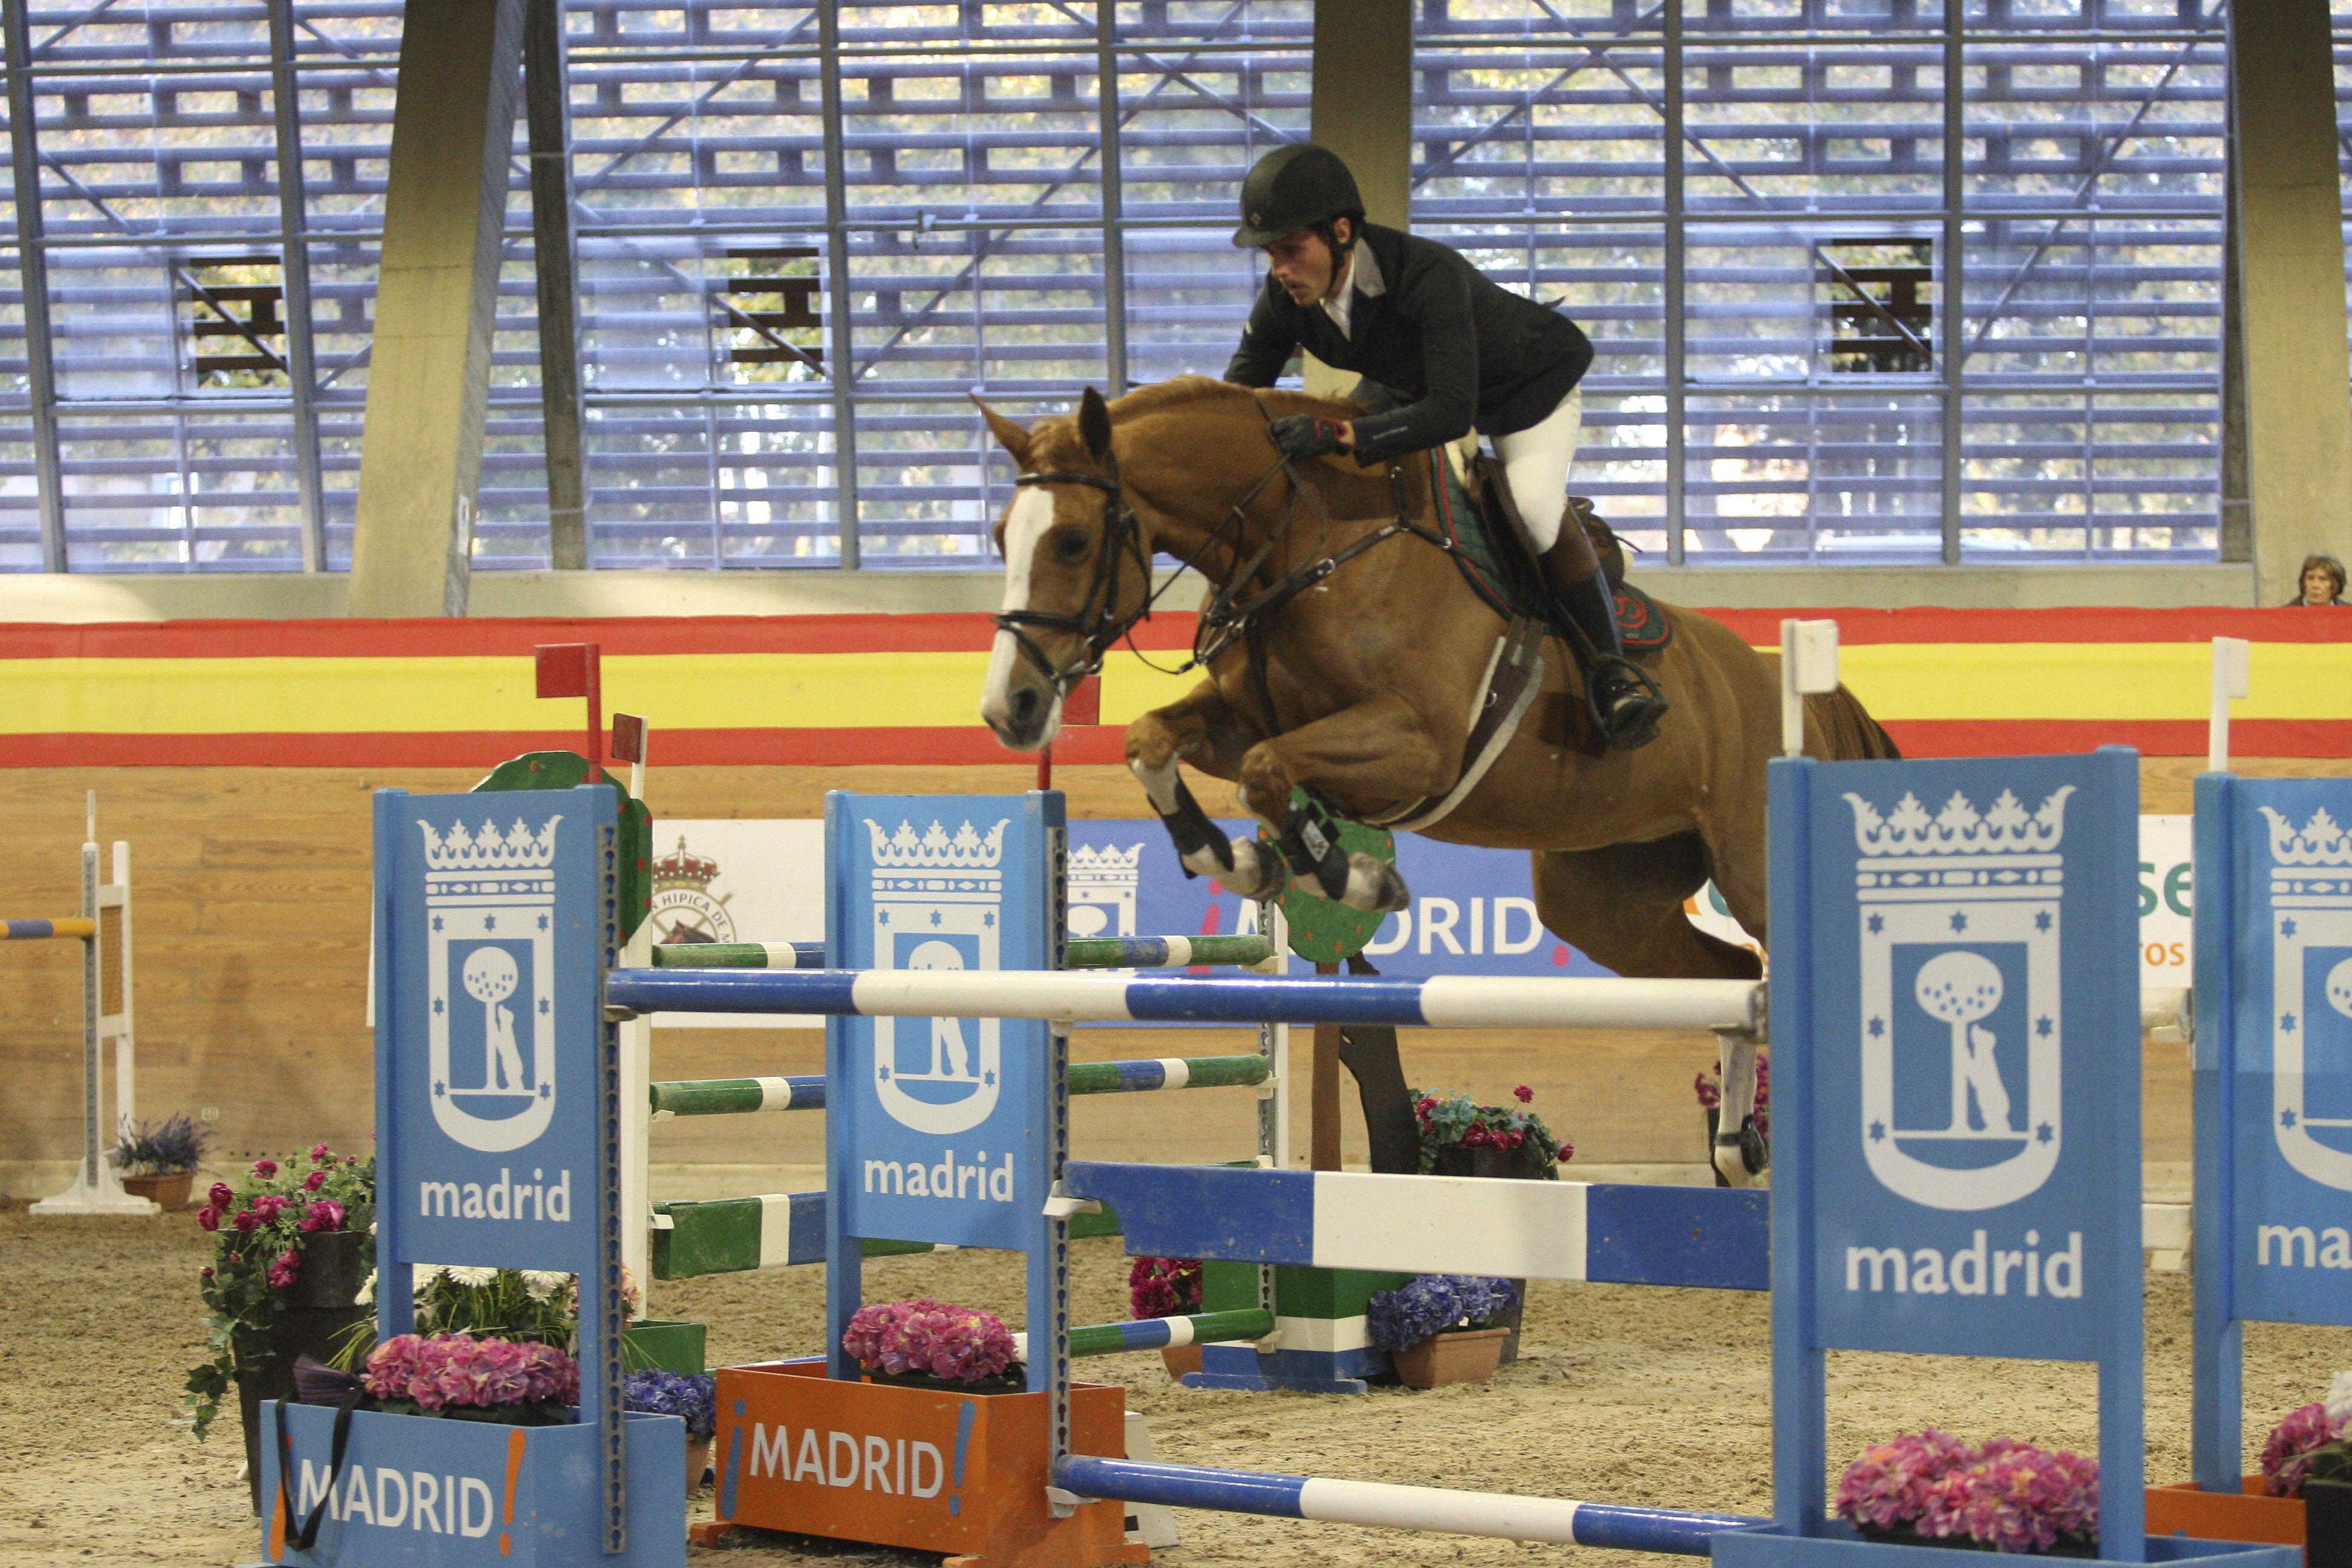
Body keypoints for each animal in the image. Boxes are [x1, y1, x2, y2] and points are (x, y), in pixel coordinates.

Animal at [973, 381, 1890, 1184]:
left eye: (1072, 542)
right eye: (1001, 538)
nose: (1011, 709)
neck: (1307, 544)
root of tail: (1785, 685)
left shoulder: (1417, 745)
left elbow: (1272, 773)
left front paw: (1351, 875)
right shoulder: (1238, 723)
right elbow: (1155, 741)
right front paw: (1243, 861)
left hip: (1751, 870)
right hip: (1605, 900)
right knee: (1731, 978)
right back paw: (1738, 1150)